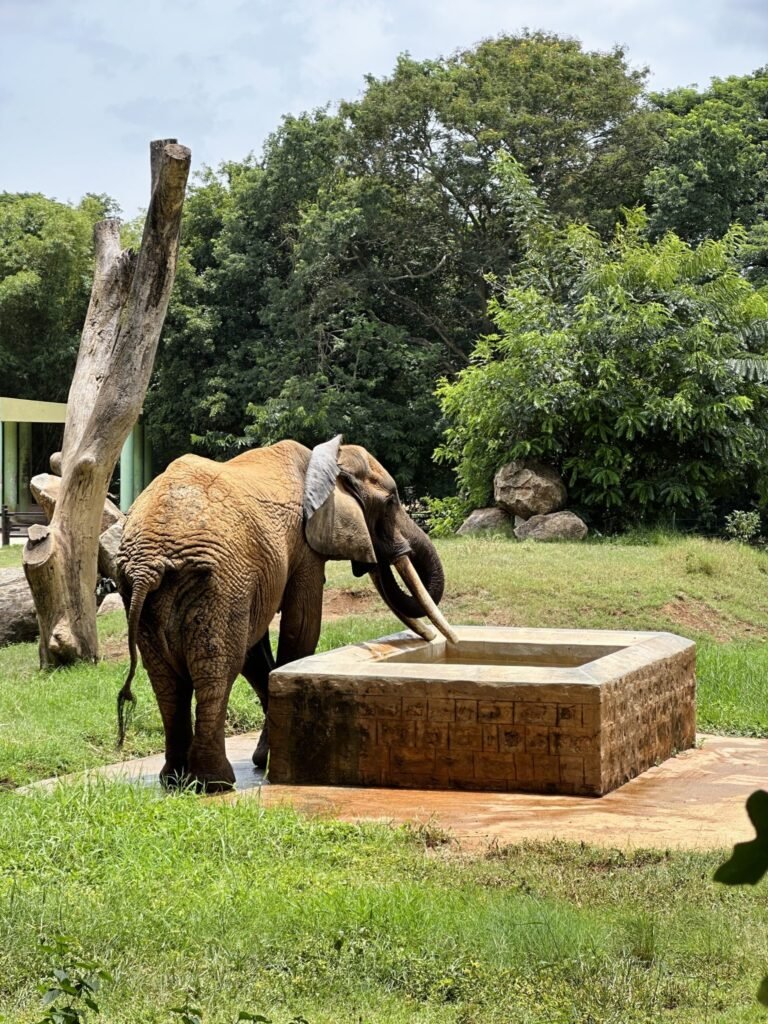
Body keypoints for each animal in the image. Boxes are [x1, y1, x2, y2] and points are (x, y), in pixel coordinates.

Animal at [115, 435, 456, 791]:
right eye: (390, 502)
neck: (327, 459)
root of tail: (147, 565)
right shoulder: (302, 548)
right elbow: (301, 628)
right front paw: (266, 758)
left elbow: (255, 648)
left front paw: (263, 757)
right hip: (214, 582)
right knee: (216, 669)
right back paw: (215, 784)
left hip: (149, 592)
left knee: (167, 680)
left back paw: (176, 781)